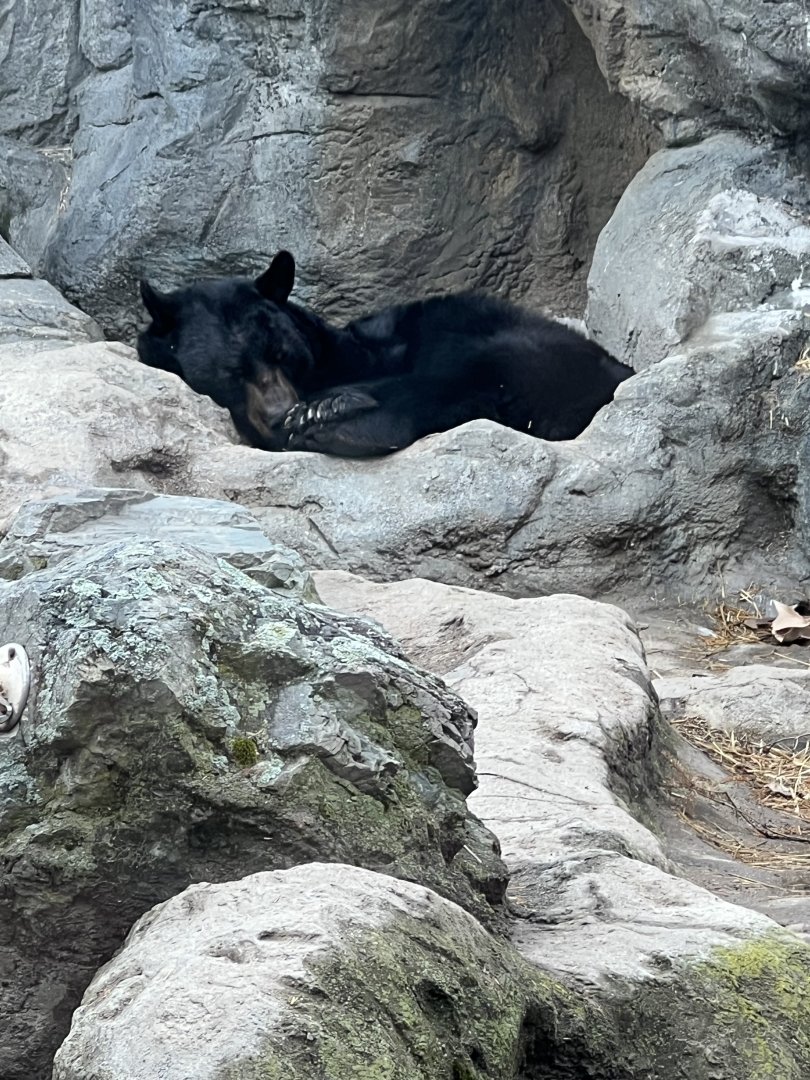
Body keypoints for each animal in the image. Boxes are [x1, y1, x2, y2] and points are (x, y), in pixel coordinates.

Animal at [137, 251, 633, 458]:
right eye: (231, 372)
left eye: (283, 354)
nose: (280, 415)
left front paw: (318, 408)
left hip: (532, 349)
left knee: (457, 377)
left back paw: (334, 419)